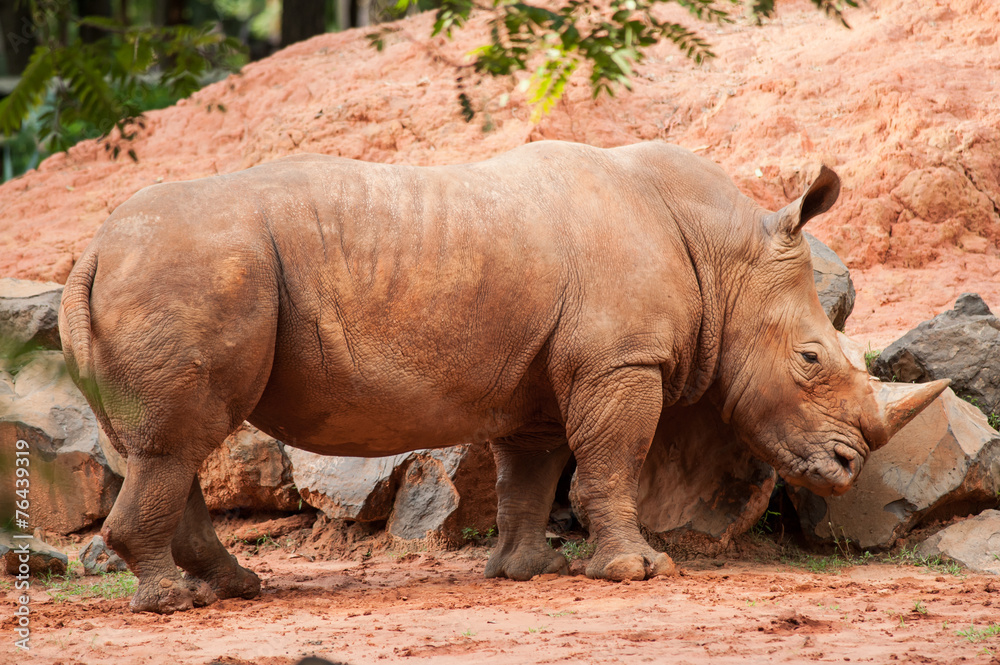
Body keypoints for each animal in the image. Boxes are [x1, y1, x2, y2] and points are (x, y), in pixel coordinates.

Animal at [59, 141, 948, 613]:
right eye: (811, 359)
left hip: (159, 275)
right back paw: (173, 602)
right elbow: (612, 463)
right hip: (185, 272)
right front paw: (638, 572)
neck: (723, 252)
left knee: (160, 448)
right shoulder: (620, 360)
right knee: (178, 442)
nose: (846, 467)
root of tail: (90, 250)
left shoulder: (545, 380)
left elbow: (533, 471)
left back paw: (234, 586)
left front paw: (528, 570)